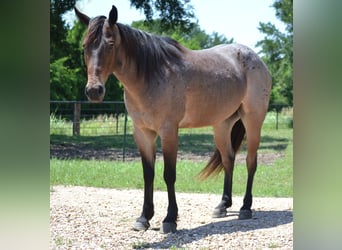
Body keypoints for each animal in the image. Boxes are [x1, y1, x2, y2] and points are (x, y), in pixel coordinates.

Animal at [75, 4, 272, 233]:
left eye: (110, 44)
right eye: (85, 46)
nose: (94, 91)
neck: (151, 75)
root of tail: (257, 60)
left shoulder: (169, 131)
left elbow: (169, 174)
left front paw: (169, 219)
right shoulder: (142, 133)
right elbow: (148, 174)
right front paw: (144, 217)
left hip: (253, 121)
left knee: (250, 162)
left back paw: (245, 208)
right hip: (222, 126)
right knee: (228, 160)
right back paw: (223, 205)